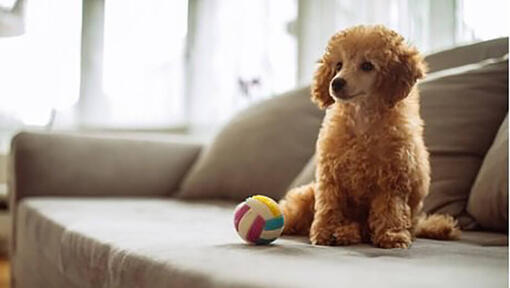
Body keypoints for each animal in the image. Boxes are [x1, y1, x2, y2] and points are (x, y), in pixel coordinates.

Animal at [280, 25, 460, 249]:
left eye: (367, 66)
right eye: (338, 65)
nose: (336, 83)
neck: (362, 120)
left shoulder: (393, 179)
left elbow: (390, 209)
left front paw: (392, 236)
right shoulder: (331, 177)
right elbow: (329, 206)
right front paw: (325, 232)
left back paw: (348, 233)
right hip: (307, 195)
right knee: (296, 211)